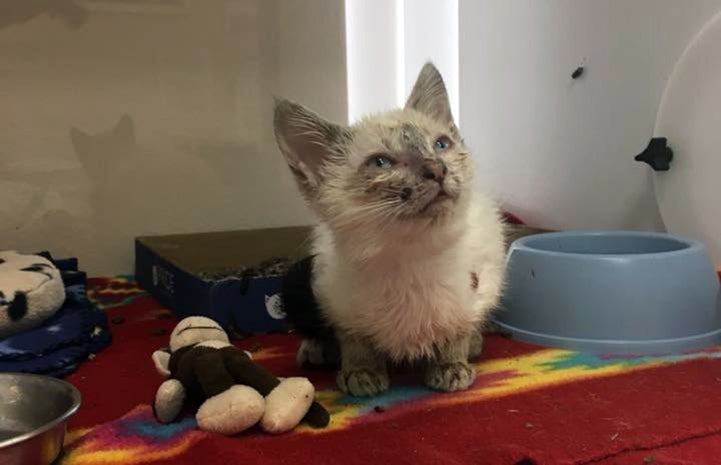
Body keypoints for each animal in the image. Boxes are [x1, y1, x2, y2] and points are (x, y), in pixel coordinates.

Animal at [272, 62, 504, 396]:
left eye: (441, 144)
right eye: (381, 162)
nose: (438, 169)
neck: (412, 255)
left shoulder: (475, 288)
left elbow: (457, 325)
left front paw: (451, 364)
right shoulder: (337, 298)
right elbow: (354, 338)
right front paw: (360, 371)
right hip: (297, 281)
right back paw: (317, 350)